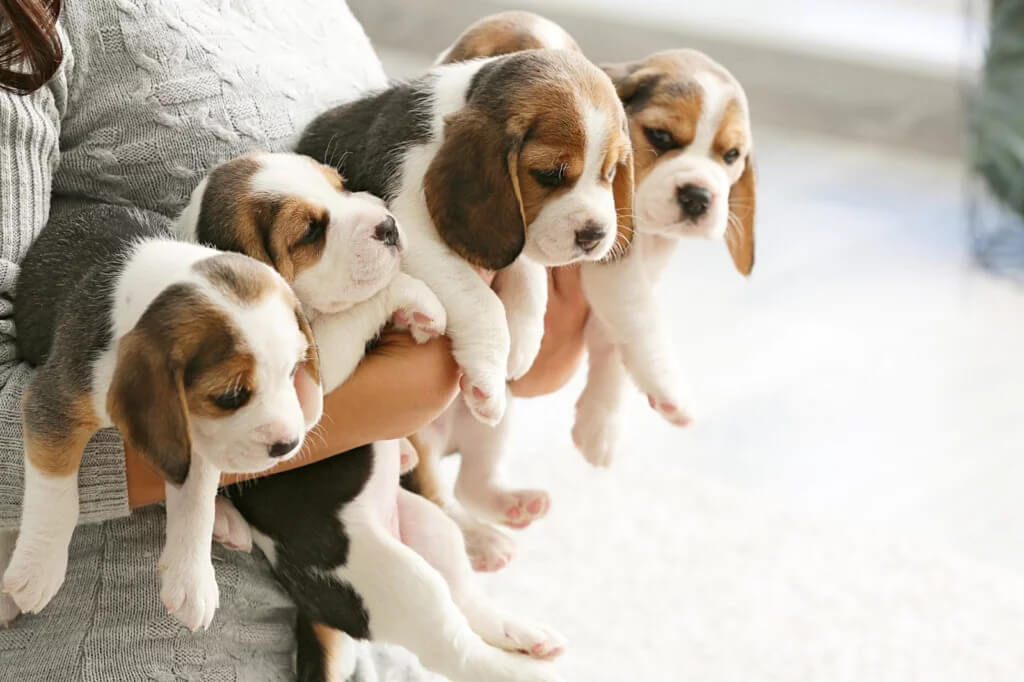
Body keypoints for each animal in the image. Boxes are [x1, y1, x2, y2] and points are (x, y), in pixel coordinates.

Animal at [1, 204, 319, 630]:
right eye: (230, 396)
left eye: (293, 371)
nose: (288, 445)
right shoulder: (54, 401)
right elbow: (55, 491)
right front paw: (38, 567)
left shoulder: (193, 430)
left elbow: (196, 497)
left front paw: (191, 577)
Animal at [292, 47, 634, 425]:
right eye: (549, 174)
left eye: (611, 171)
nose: (595, 235)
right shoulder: (407, 229)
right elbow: (483, 302)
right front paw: (488, 381)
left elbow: (528, 275)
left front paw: (524, 342)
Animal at [409, 13, 761, 569]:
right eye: (661, 136)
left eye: (730, 156)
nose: (698, 196)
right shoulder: (602, 259)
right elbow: (634, 316)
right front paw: (669, 389)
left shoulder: (618, 262)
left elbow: (617, 343)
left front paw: (601, 427)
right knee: (437, 500)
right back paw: (481, 542)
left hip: (495, 422)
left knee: (472, 481)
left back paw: (511, 506)